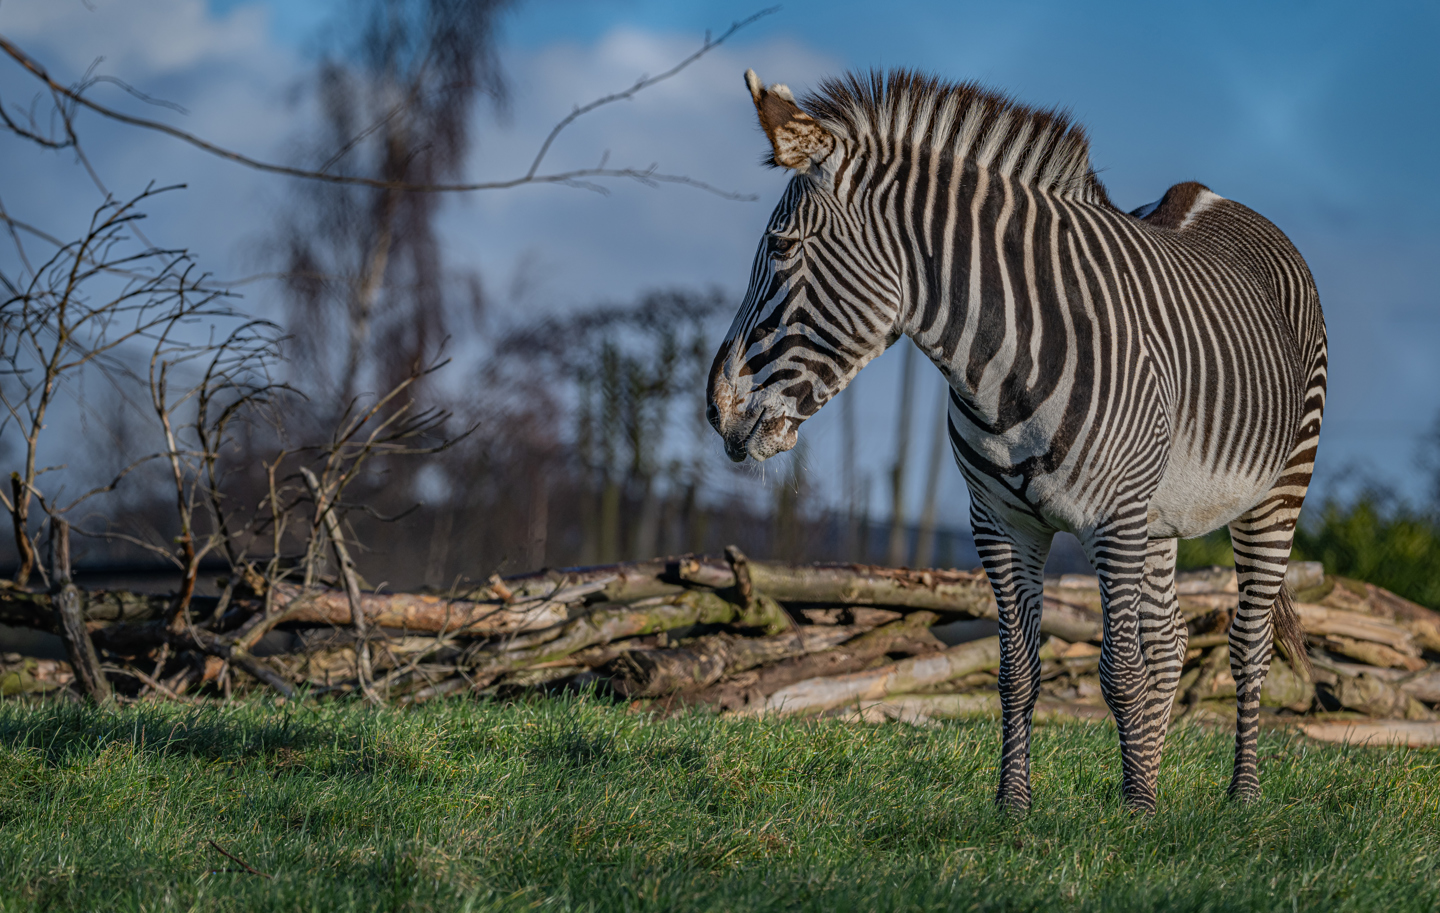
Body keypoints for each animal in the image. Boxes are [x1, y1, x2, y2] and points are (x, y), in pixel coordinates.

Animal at [706, 69, 1326, 812]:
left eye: (781, 248)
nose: (716, 409)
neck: (1005, 368)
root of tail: (1213, 194)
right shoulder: (1001, 523)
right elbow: (1017, 669)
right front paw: (1016, 806)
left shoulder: (1114, 522)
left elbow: (1120, 671)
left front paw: (1134, 817)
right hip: (1161, 515)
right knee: (1172, 639)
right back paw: (1155, 775)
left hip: (1277, 492)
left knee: (1246, 640)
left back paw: (1242, 793)